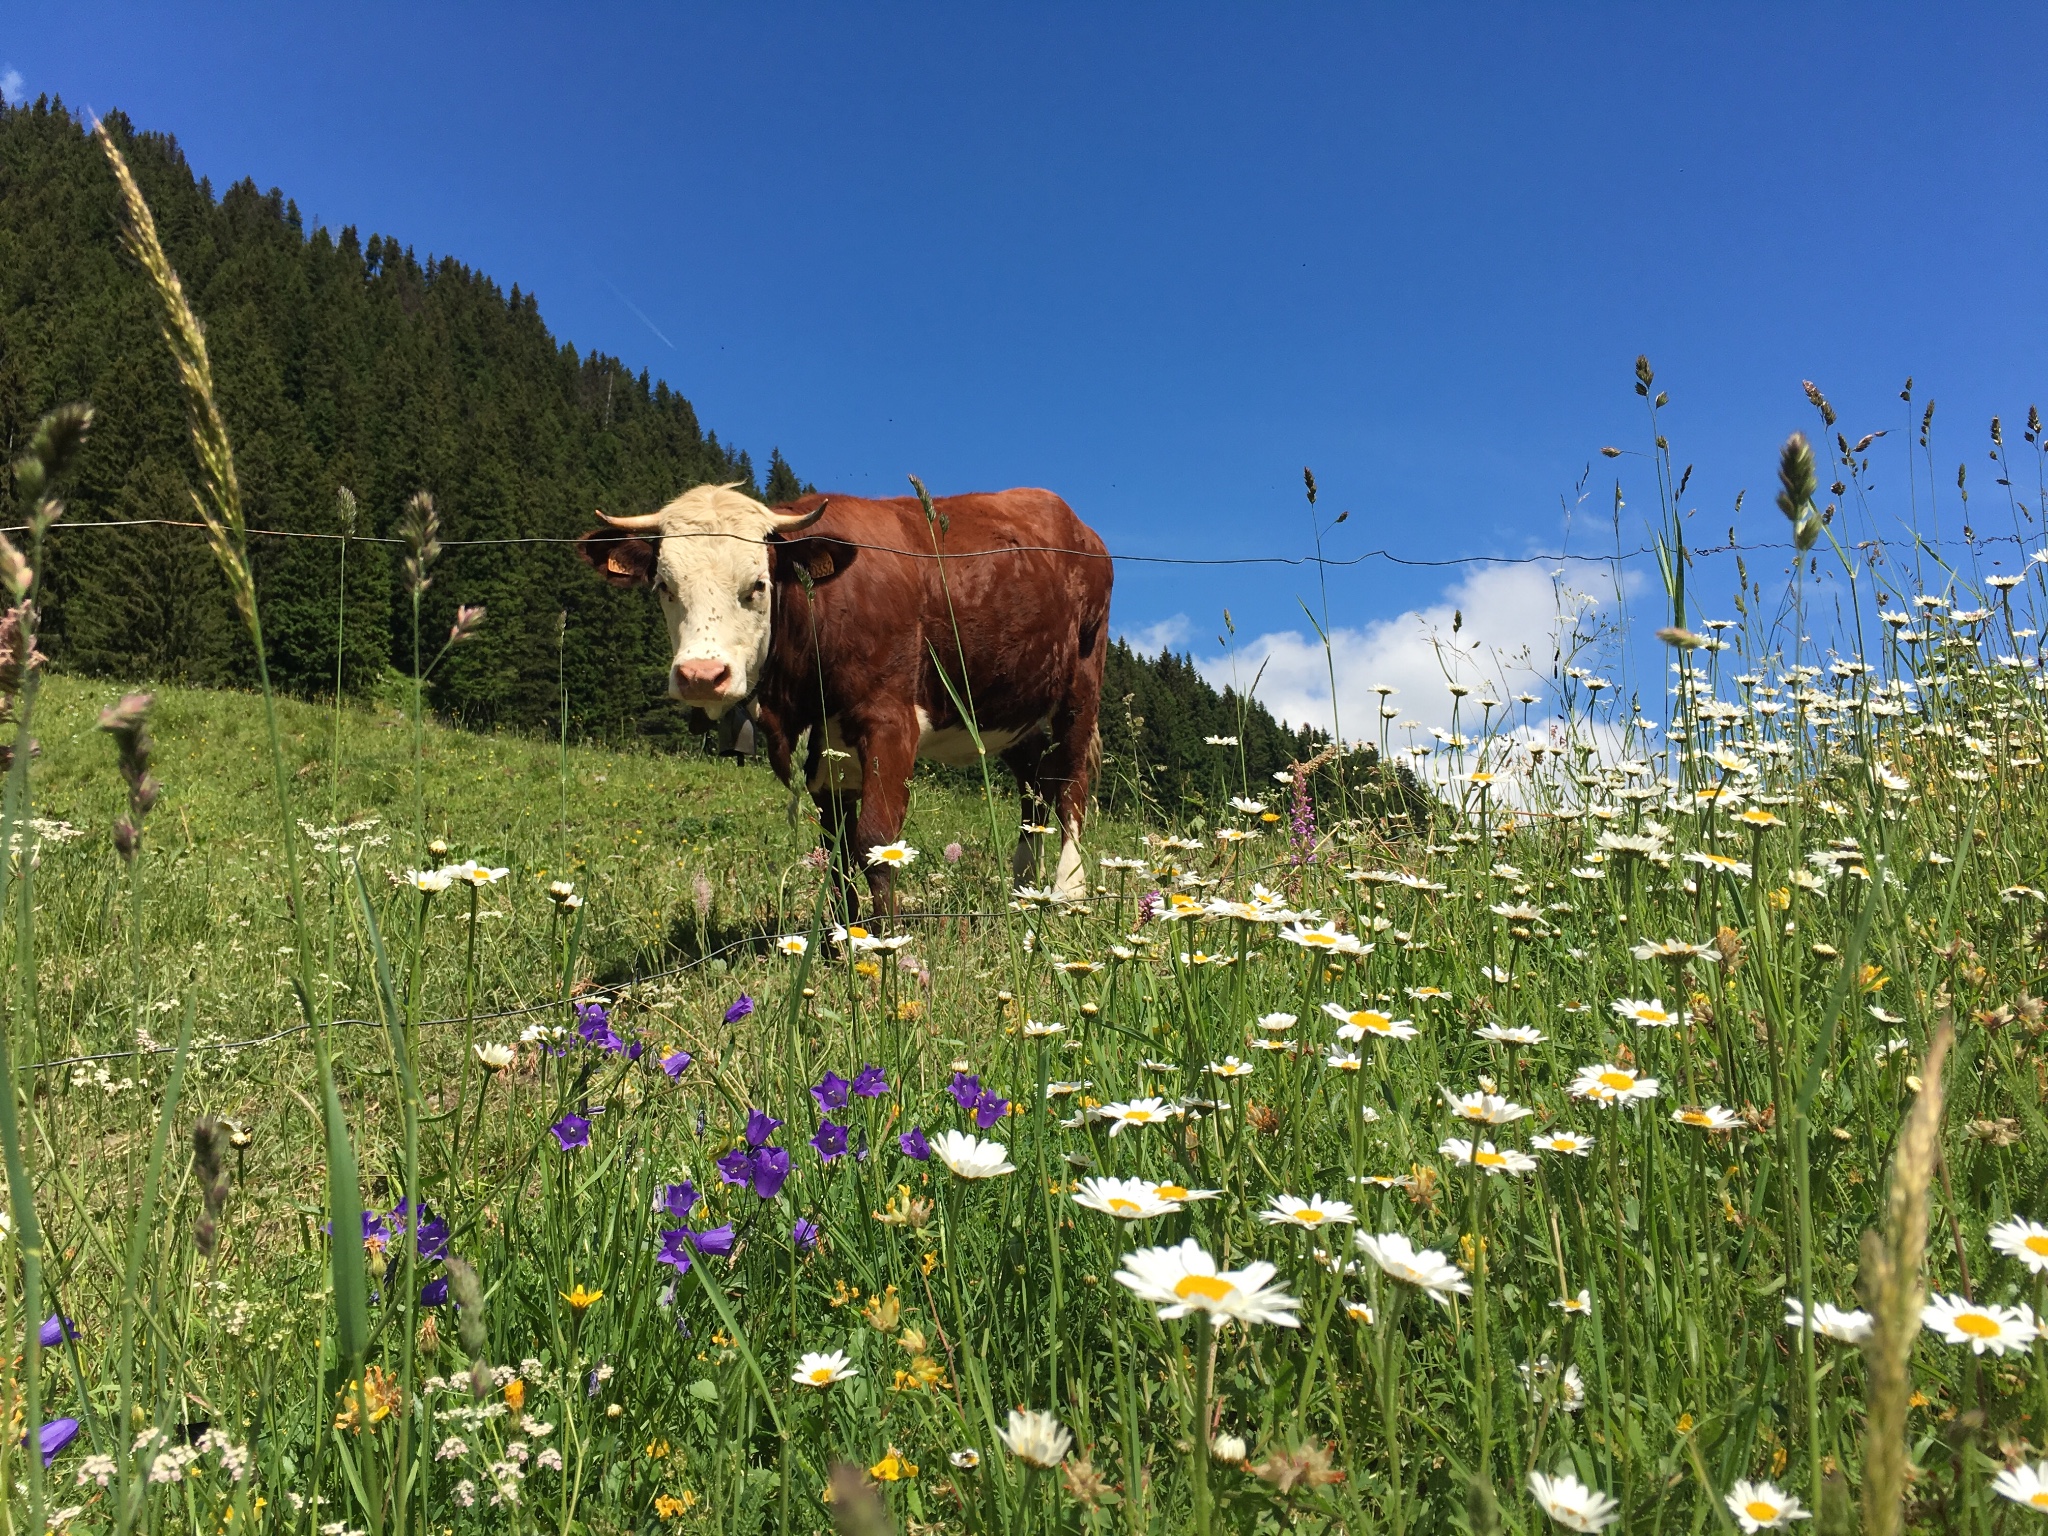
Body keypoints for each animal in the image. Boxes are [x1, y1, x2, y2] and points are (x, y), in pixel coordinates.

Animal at [577, 483, 1114, 913]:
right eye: (664, 586)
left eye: (757, 585)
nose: (701, 675)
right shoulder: (822, 746)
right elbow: (834, 850)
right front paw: (840, 940)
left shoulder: (891, 723)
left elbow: (875, 843)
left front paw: (885, 945)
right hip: (1010, 710)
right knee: (1034, 785)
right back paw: (1024, 889)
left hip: (1081, 684)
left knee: (1070, 783)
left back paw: (1068, 890)